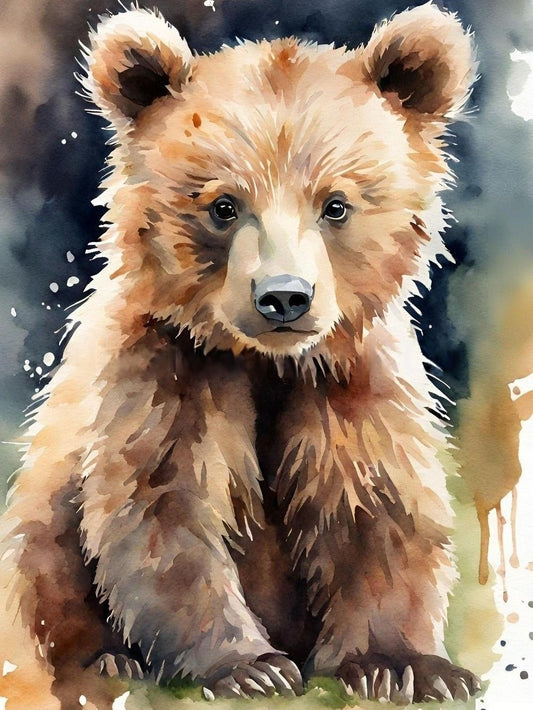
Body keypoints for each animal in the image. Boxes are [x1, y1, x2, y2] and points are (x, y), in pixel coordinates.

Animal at [0, 3, 480, 708]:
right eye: (223, 205)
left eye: (336, 204)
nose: (284, 297)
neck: (264, 360)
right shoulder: (164, 372)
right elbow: (164, 510)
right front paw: (250, 665)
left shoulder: (352, 380)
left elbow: (375, 506)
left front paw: (404, 665)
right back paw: (108, 660)